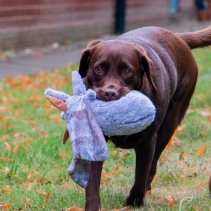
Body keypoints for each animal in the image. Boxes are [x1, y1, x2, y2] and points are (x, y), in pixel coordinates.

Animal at [77, 25, 211, 210]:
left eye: (128, 71)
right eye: (98, 69)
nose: (110, 93)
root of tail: (178, 37)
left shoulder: (148, 140)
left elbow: (141, 174)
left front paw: (134, 201)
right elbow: (92, 183)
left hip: (170, 123)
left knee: (152, 166)